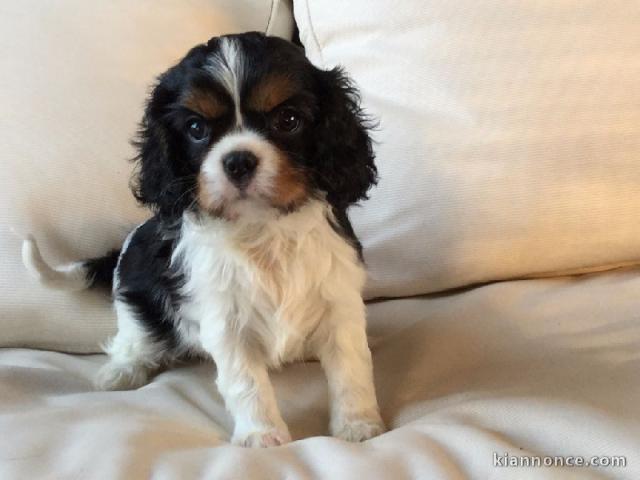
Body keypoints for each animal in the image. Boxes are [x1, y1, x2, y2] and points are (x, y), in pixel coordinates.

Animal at [23, 32, 384, 446]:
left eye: (288, 120)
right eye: (196, 128)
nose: (238, 160)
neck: (262, 228)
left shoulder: (339, 302)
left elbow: (351, 368)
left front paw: (357, 425)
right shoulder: (224, 318)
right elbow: (246, 381)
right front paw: (261, 435)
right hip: (140, 301)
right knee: (136, 338)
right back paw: (122, 370)